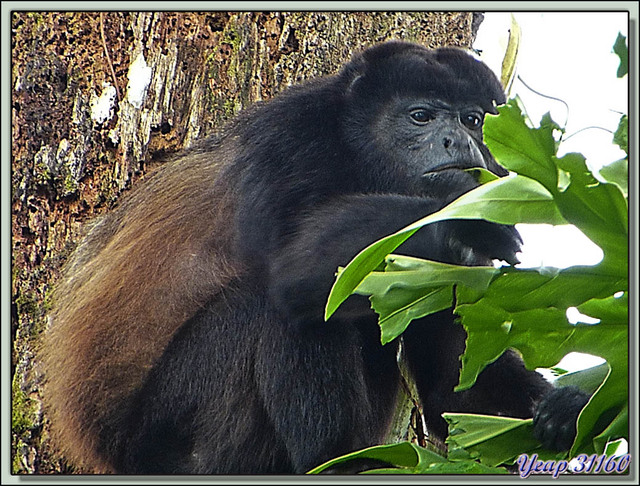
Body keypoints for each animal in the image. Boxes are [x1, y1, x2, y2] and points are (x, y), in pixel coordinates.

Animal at [42, 41, 590, 475]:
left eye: (473, 120)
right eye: (422, 117)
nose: (460, 141)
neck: (360, 158)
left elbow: (453, 386)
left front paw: (569, 406)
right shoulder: (292, 142)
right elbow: (292, 271)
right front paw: (459, 216)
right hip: (167, 433)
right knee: (279, 304)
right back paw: (336, 462)